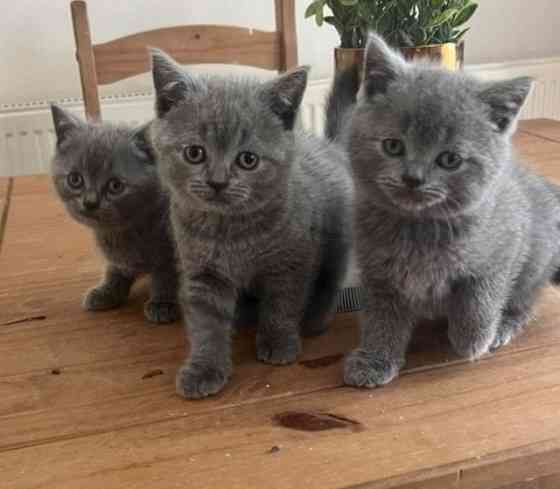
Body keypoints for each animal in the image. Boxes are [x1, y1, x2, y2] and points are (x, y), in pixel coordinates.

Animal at [50, 105, 178, 322]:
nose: (90, 202)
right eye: (75, 180)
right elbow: (115, 269)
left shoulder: (172, 250)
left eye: (115, 186)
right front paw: (107, 291)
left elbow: (166, 274)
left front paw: (163, 303)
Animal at [149, 51, 350, 398]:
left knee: (329, 279)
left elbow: (283, 303)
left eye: (248, 160)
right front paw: (204, 368)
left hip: (336, 239)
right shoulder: (202, 272)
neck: (232, 232)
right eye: (194, 153)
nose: (217, 182)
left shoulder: (291, 262)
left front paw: (279, 342)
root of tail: (330, 145)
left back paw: (315, 318)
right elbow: (206, 323)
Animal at [326, 33, 560, 388]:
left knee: (526, 300)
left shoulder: (505, 247)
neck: (418, 230)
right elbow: (381, 320)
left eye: (450, 159)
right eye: (392, 145)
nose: (413, 178)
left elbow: (481, 296)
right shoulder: (379, 274)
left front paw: (473, 339)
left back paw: (504, 326)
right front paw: (375, 359)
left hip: (537, 259)